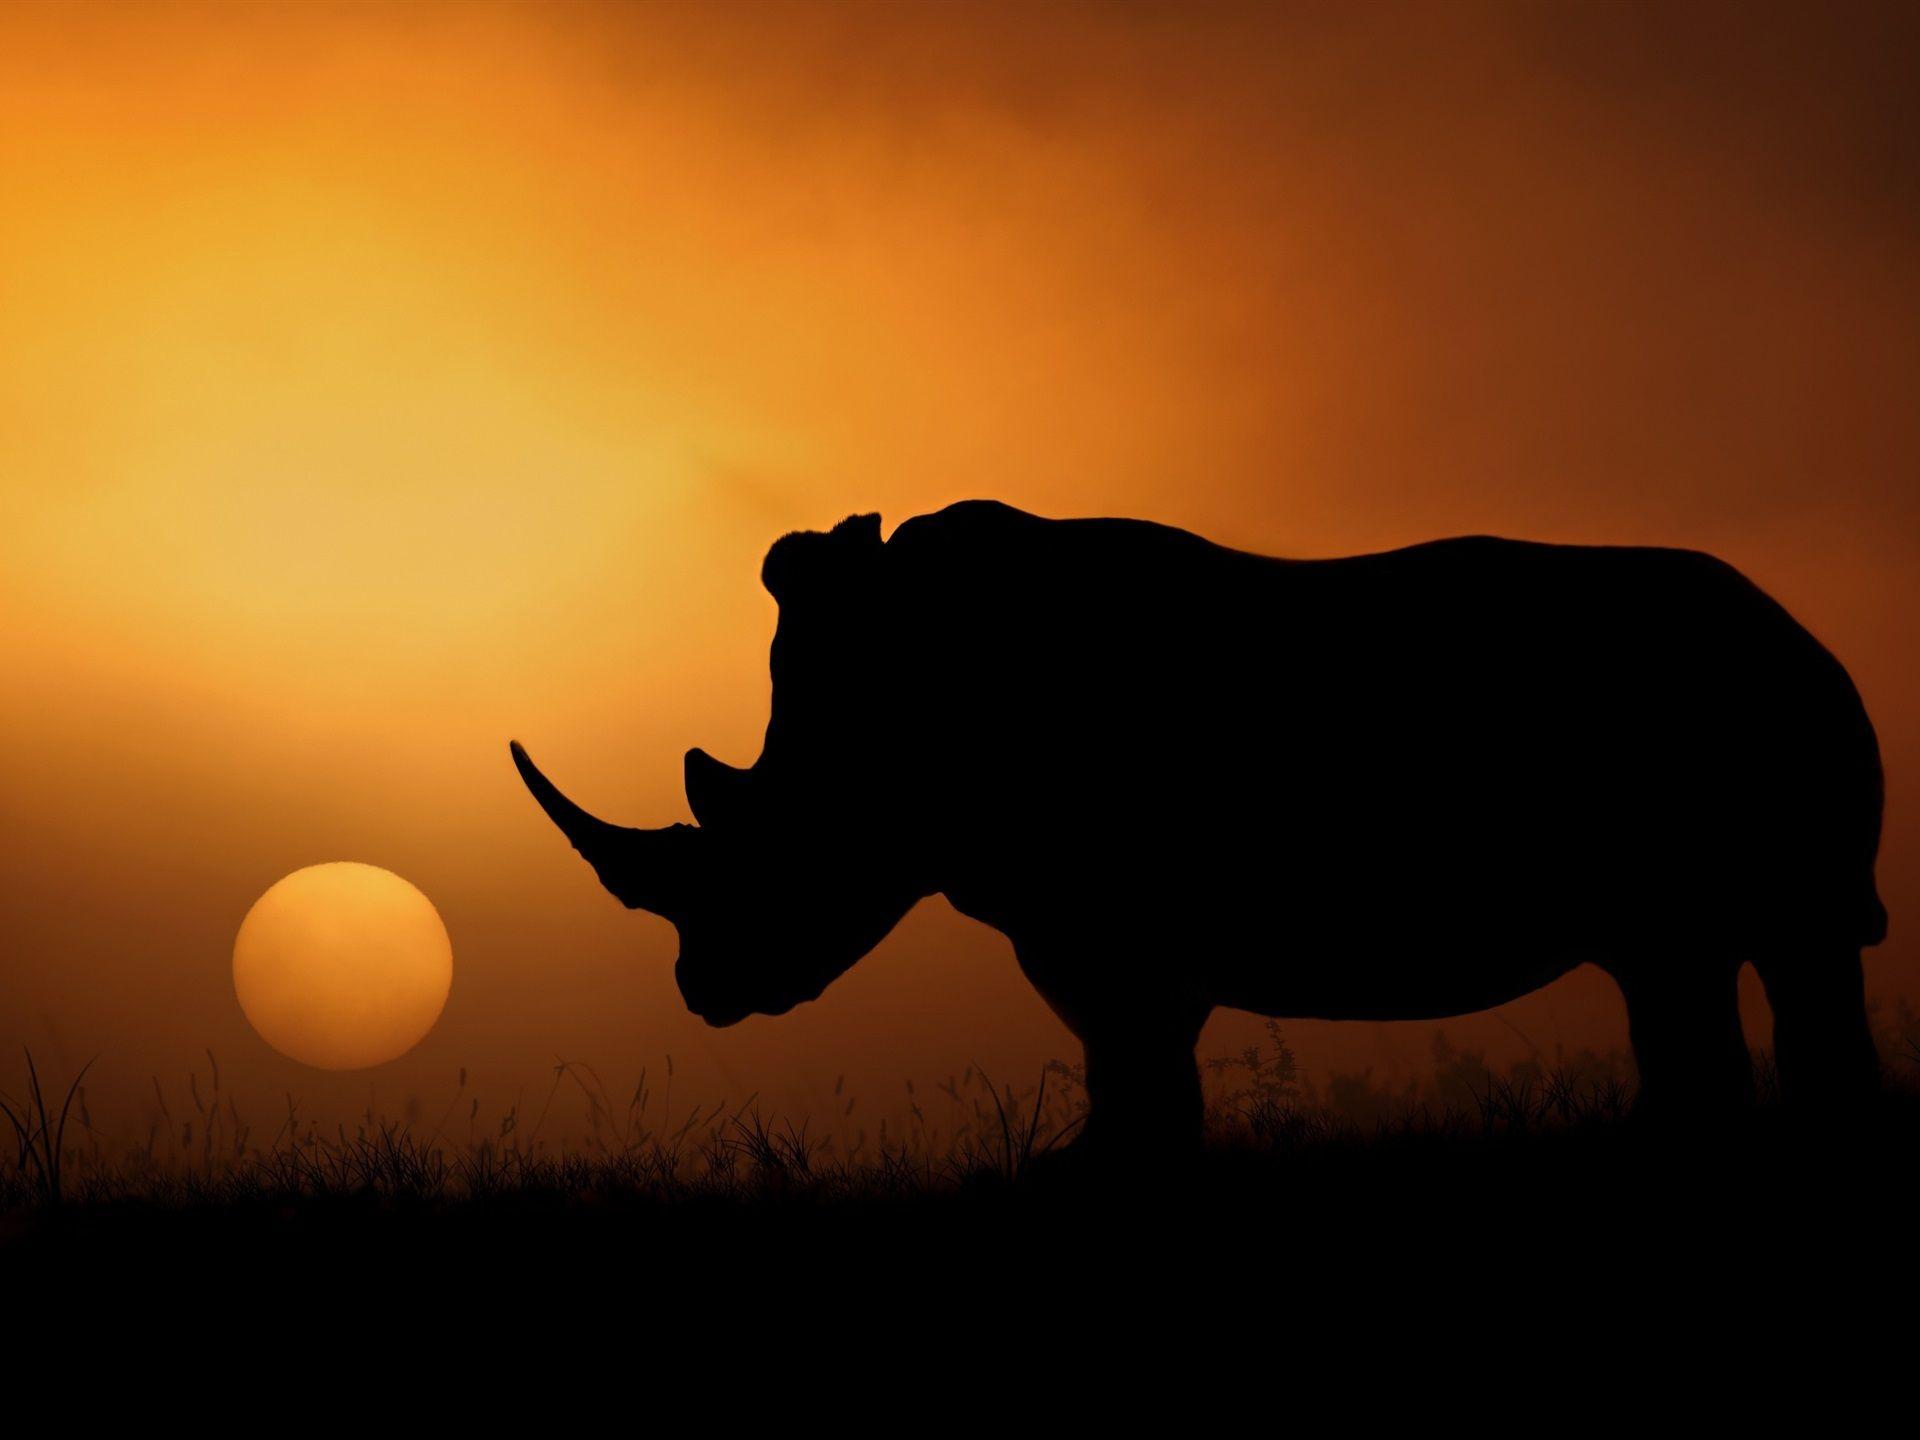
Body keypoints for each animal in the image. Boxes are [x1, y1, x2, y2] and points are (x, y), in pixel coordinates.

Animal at [512, 500, 1886, 1152]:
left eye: (769, 853)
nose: (703, 992)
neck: (888, 731)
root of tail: (1802, 631)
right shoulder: (1090, 915)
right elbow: (1133, 1054)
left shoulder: (1099, 915)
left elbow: (1131, 1048)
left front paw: (1093, 1175)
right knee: (1698, 960)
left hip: (1751, 711)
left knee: (1755, 947)